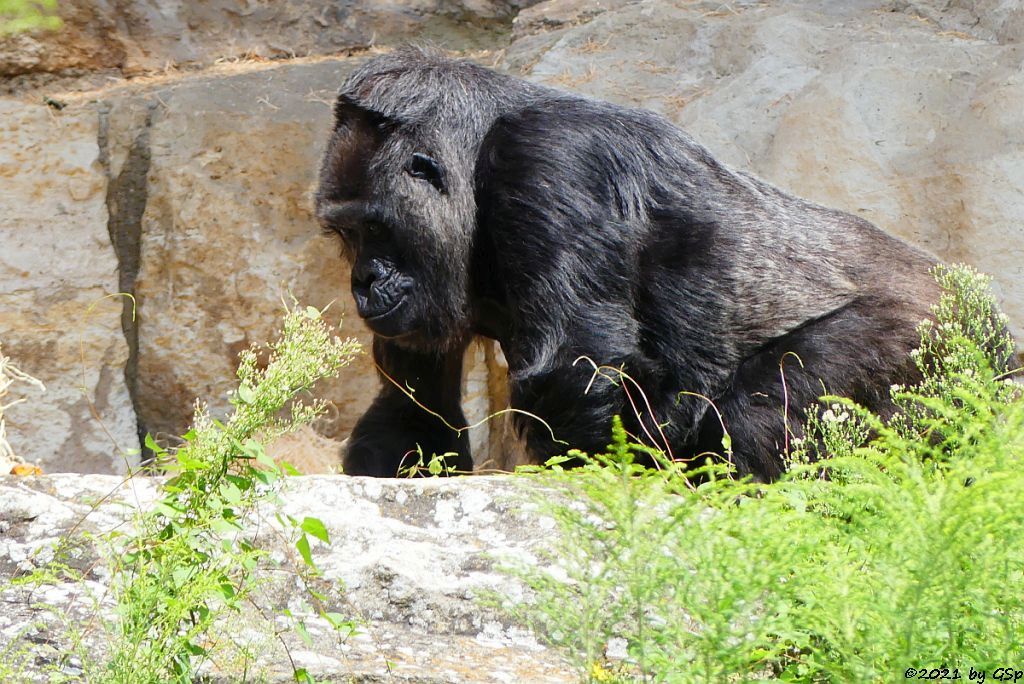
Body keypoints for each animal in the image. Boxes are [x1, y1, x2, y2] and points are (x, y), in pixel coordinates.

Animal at [313, 46, 942, 481]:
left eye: (374, 228)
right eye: (345, 233)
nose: (363, 283)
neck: (479, 157)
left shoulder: (552, 159)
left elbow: (575, 359)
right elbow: (417, 410)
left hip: (921, 331)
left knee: (764, 408)